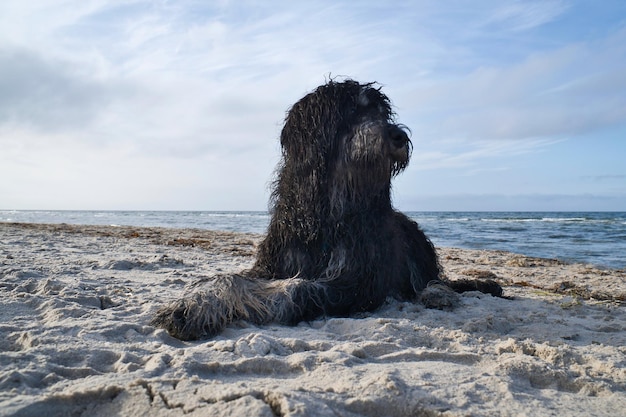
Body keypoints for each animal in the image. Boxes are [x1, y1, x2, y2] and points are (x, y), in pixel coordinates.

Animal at [151, 79, 498, 340]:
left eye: (383, 113)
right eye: (353, 110)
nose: (399, 136)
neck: (323, 212)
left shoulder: (356, 280)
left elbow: (295, 288)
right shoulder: (273, 263)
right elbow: (227, 279)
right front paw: (191, 306)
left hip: (418, 247)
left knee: (433, 281)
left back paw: (438, 295)